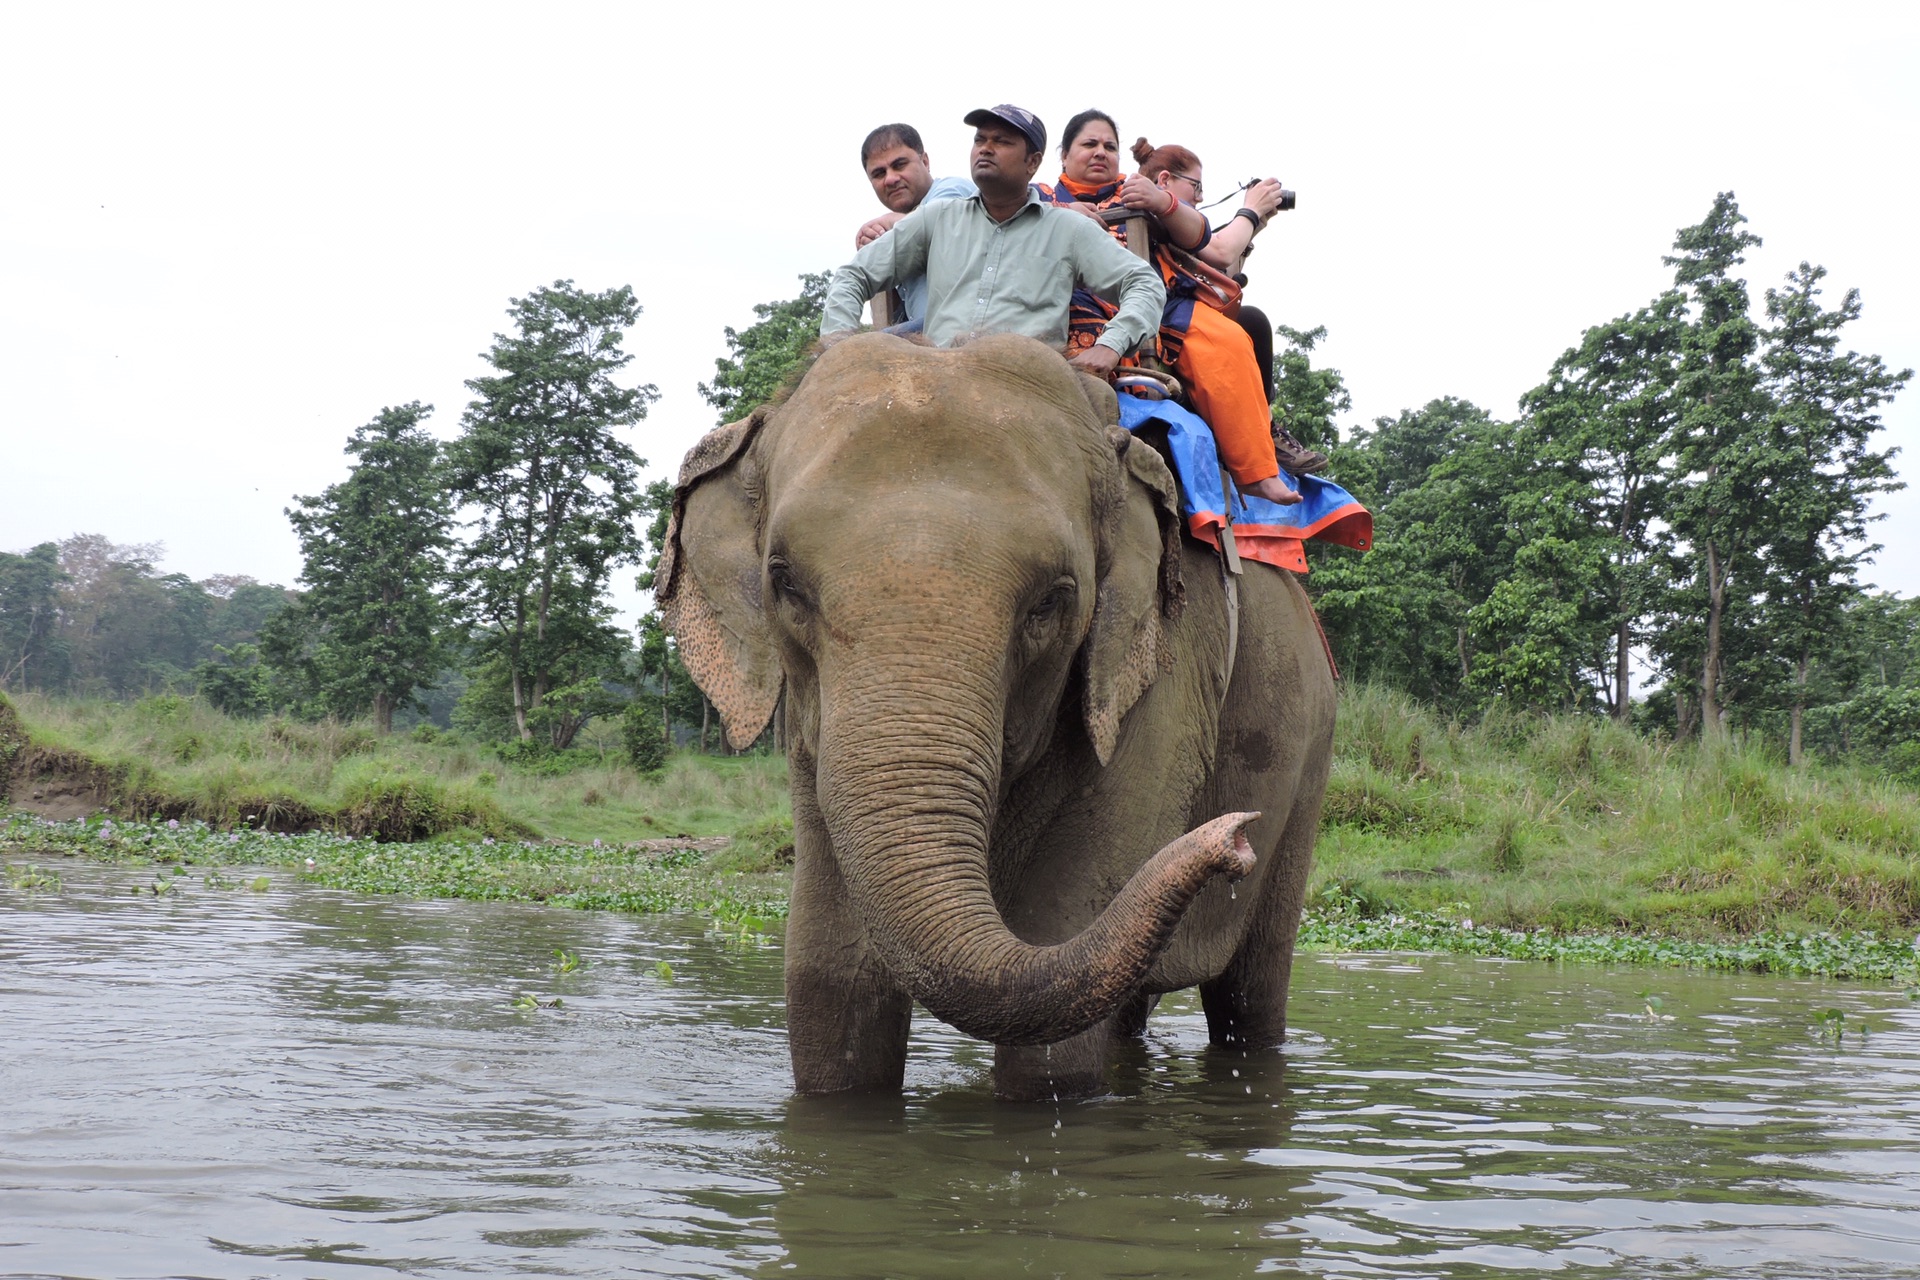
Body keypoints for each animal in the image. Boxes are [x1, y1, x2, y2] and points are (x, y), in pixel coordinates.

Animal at [660, 330, 1336, 1105]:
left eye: (1053, 599)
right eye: (785, 584)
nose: (1234, 839)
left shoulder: (1170, 662)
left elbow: (1062, 929)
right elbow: (831, 972)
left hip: (1311, 750)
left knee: (1251, 991)